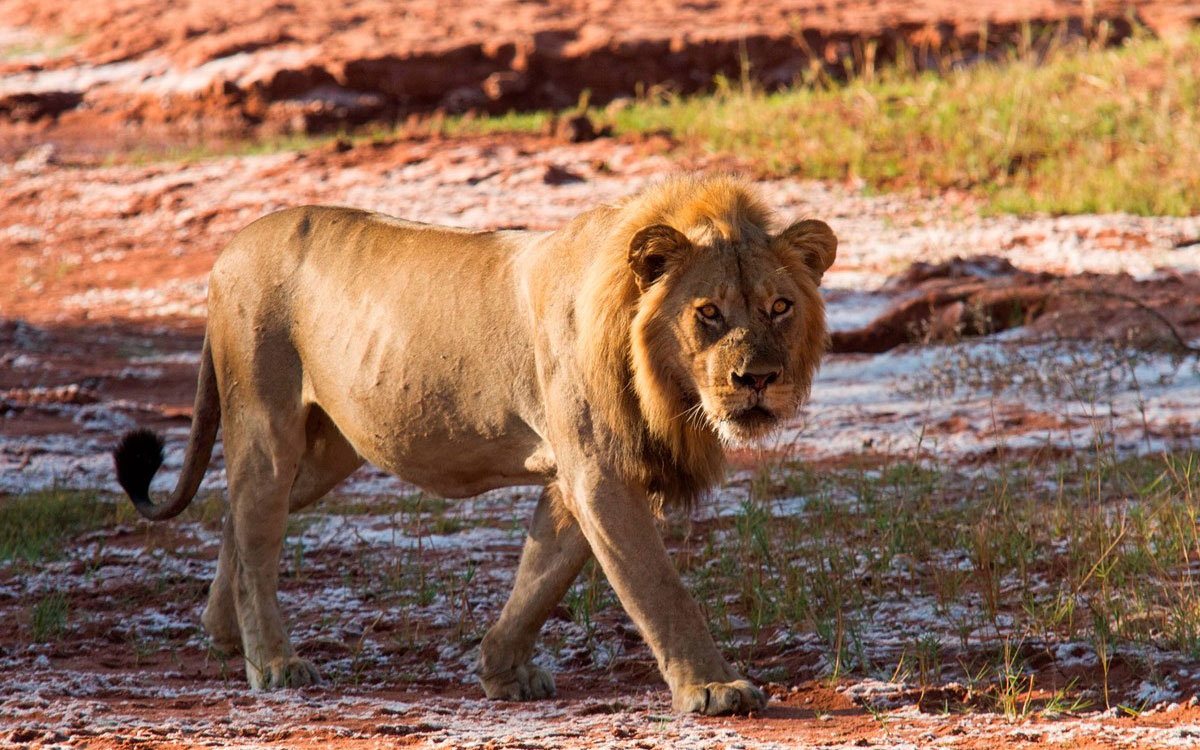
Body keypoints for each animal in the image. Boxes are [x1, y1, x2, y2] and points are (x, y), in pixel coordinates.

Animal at [113, 174, 836, 715]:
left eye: (779, 307)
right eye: (707, 312)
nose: (757, 379)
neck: (665, 388)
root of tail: (228, 249)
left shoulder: (574, 478)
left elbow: (541, 577)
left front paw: (501, 672)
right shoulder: (600, 471)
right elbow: (658, 587)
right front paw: (713, 688)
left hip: (328, 449)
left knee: (236, 515)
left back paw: (222, 633)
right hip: (267, 423)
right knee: (257, 528)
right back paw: (272, 662)